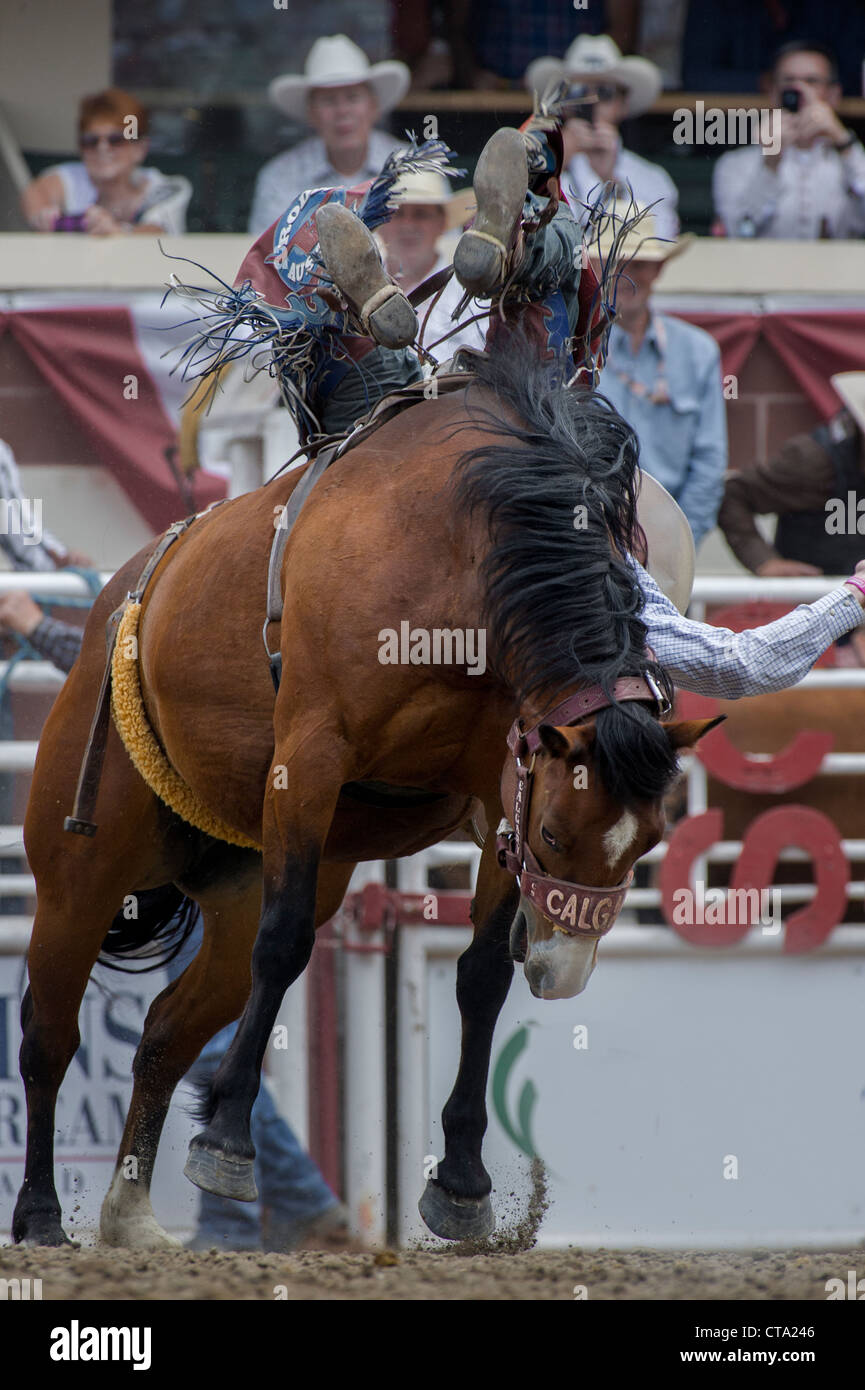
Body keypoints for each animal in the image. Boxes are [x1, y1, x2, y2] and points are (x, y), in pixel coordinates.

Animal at [11, 350, 717, 1251]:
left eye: (651, 841)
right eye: (558, 835)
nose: (561, 974)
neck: (457, 549)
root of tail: (121, 598)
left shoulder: (502, 790)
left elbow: (480, 977)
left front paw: (461, 1183)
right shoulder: (310, 759)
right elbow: (283, 948)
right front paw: (227, 1142)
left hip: (236, 881)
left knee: (166, 1033)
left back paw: (130, 1213)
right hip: (81, 869)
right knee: (49, 1035)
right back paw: (39, 1213)